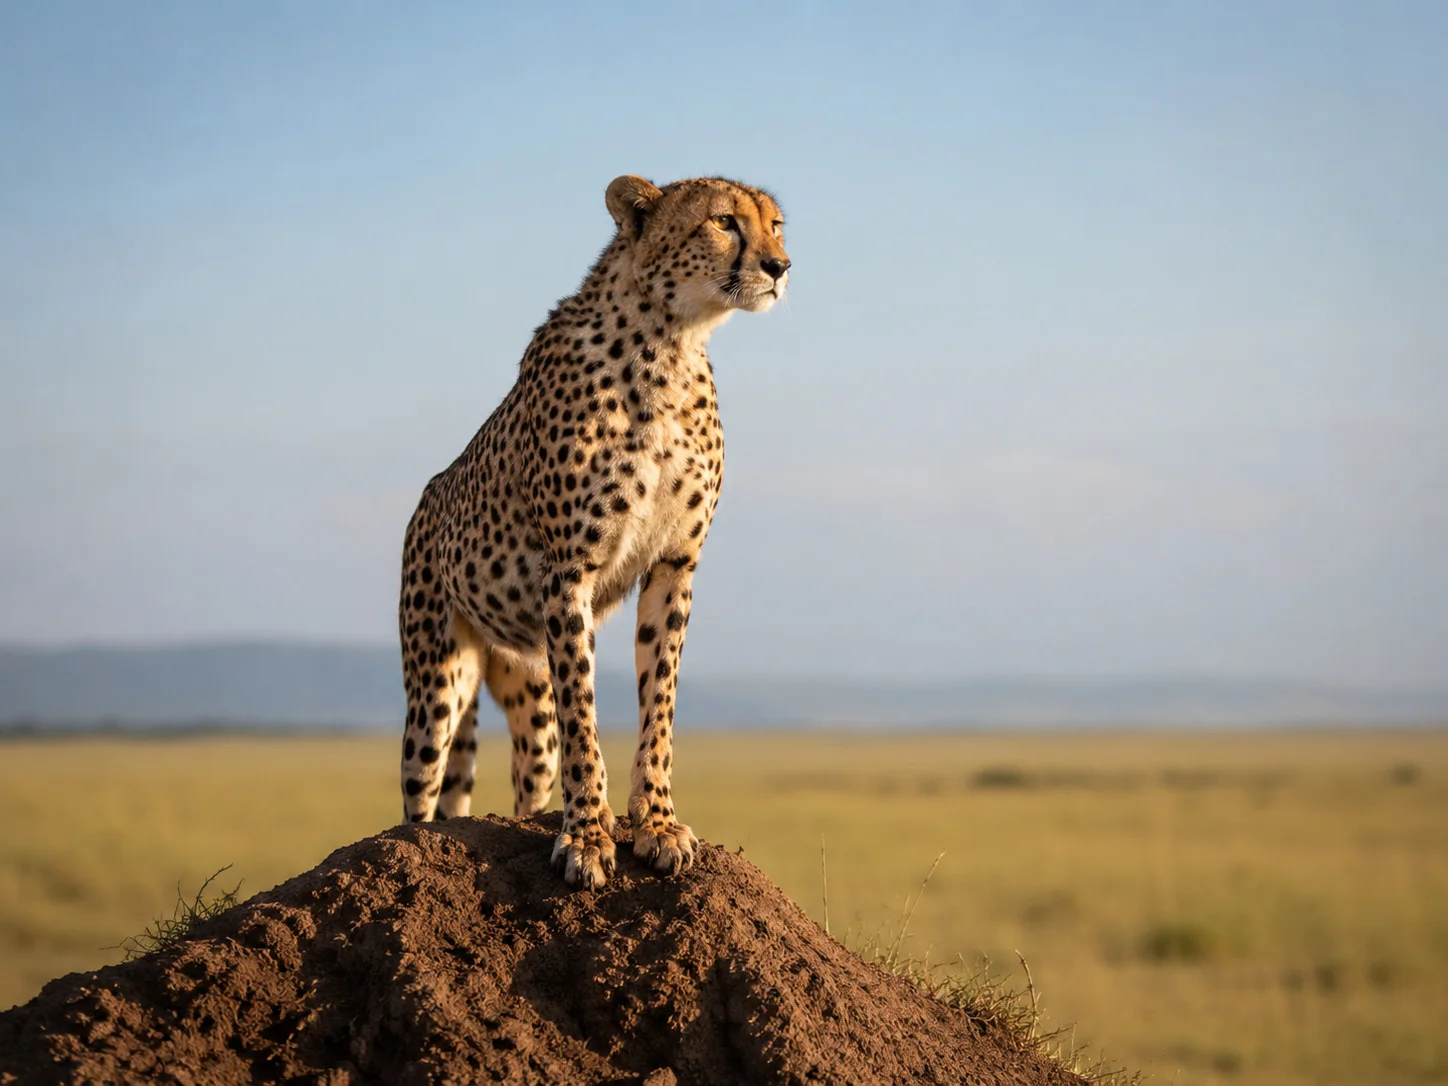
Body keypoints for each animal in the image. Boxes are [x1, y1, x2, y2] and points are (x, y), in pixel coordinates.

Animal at [397, 174, 789, 889]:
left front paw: (655, 822)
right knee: (422, 791)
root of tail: (431, 490)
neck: (671, 341)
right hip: (435, 682)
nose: (780, 266)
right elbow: (584, 710)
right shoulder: (568, 572)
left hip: (524, 688)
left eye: (775, 225)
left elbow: (658, 702)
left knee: (529, 773)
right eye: (724, 222)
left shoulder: (674, 564)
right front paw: (586, 836)